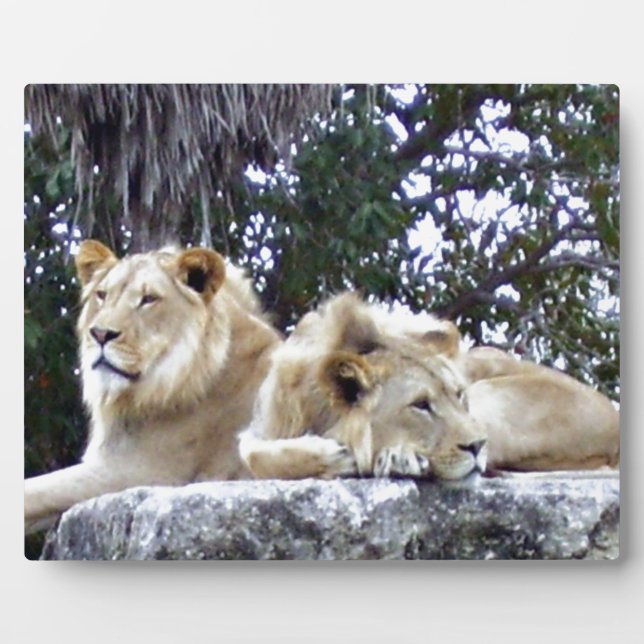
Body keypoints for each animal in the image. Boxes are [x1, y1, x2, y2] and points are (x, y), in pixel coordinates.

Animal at [239, 293, 619, 480]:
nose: (476, 446)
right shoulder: (260, 430)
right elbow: (253, 454)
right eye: (420, 404)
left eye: (458, 395)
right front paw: (330, 455)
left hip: (493, 397)